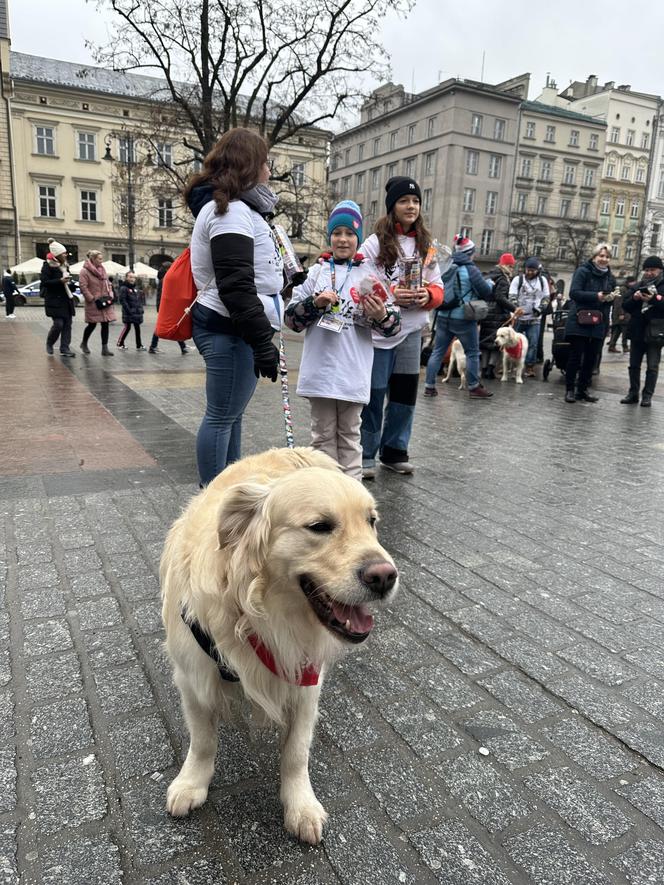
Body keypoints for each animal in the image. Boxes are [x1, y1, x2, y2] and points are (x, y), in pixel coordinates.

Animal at [160, 448, 400, 844]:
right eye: (319, 526)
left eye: (372, 522)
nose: (385, 577)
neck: (258, 614)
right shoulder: (193, 676)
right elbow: (203, 739)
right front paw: (192, 782)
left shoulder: (306, 677)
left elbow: (296, 751)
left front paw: (300, 805)